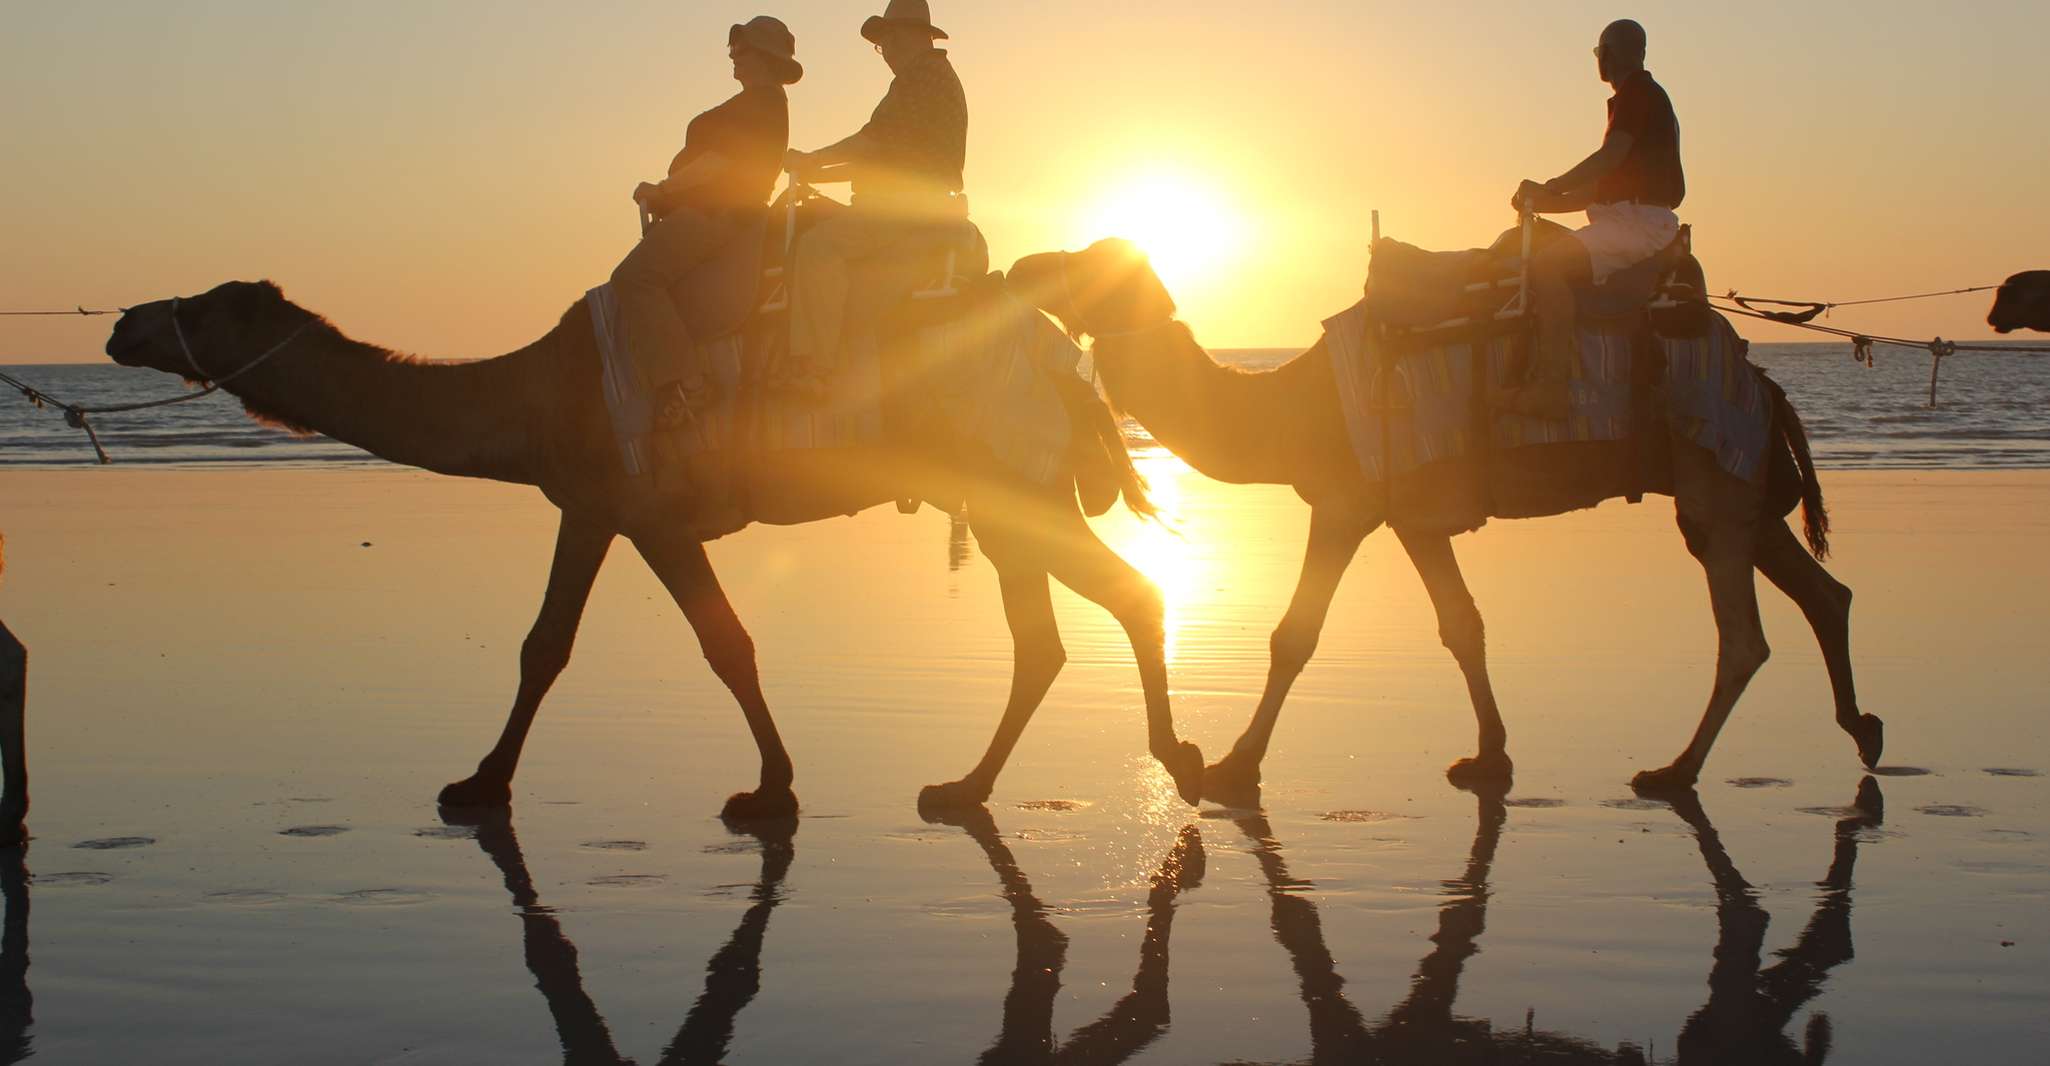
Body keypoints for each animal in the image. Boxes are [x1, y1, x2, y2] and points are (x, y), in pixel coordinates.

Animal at [99, 280, 1213, 815]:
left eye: (201, 305)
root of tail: (1069, 365)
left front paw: (767, 790)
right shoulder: (592, 506)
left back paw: (1173, 758)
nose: (120, 323)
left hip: (1013, 477)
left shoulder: (639, 509)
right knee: (1048, 636)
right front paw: (486, 780)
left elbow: (713, 645)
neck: (531, 392)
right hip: (999, 492)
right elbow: (551, 645)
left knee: (1123, 597)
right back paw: (967, 786)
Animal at [1000, 239, 1877, 799]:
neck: (1288, 407)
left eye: (1084, 262)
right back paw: (1861, 728)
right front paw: (1490, 757)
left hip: (1713, 471)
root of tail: (1765, 383)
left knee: (1743, 636)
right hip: (1734, 488)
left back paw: (1675, 770)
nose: (1019, 267)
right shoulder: (1414, 517)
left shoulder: (1346, 502)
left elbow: (1295, 636)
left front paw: (1232, 767)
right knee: (1822, 593)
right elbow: (1463, 625)